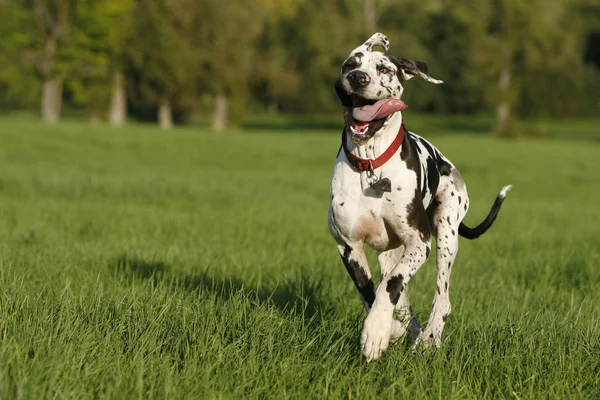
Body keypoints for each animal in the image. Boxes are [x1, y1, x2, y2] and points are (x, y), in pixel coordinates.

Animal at [328, 32, 510, 360]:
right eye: (350, 64)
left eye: (384, 69)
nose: (358, 78)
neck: (371, 164)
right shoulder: (349, 247)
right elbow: (373, 293)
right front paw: (386, 329)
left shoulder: (419, 242)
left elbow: (391, 286)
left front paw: (376, 332)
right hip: (389, 253)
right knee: (401, 298)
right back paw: (407, 331)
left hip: (446, 237)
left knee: (442, 300)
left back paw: (430, 338)